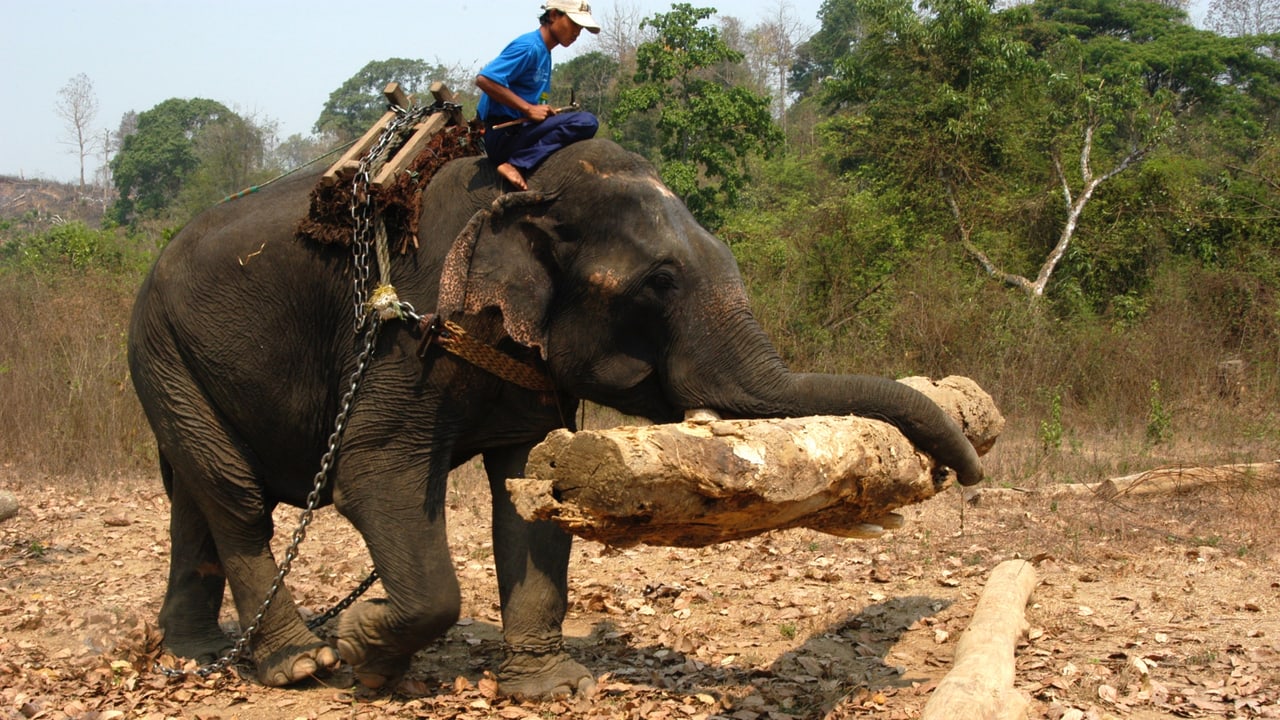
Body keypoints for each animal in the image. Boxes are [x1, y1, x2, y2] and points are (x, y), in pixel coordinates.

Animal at [127, 135, 977, 696]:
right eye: (659, 283)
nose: (966, 472)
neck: (534, 188)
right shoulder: (413, 329)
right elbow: (375, 475)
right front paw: (365, 653)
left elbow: (531, 488)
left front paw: (553, 687)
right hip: (160, 350)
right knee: (235, 500)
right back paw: (299, 664)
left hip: (178, 368)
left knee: (194, 496)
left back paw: (195, 652)